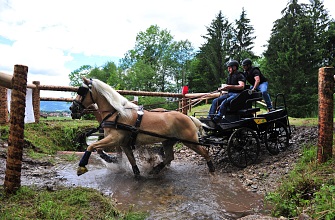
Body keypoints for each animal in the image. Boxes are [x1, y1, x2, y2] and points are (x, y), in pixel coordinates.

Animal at [70, 78, 215, 179]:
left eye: (81, 92)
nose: (72, 109)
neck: (116, 114)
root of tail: (189, 118)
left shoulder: (114, 139)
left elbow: (91, 146)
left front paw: (81, 167)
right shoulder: (123, 143)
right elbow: (130, 159)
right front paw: (135, 173)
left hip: (190, 141)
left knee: (204, 152)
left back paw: (212, 169)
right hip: (168, 141)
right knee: (169, 157)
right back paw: (155, 169)